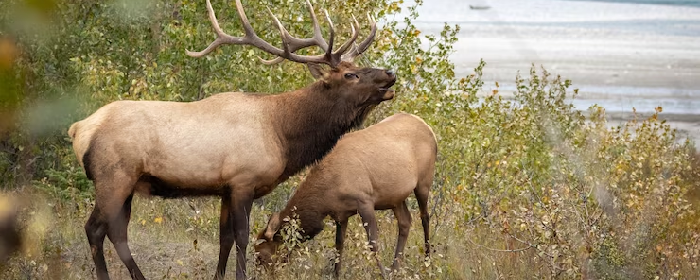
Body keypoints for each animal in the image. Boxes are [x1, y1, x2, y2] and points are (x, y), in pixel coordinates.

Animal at [68, 1, 396, 278]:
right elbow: (241, 237)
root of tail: (79, 129)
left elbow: (224, 239)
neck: (282, 134)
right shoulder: (243, 180)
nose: (390, 73)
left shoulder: (225, 188)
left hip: (128, 184)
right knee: (94, 228)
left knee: (116, 232)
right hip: (114, 177)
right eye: (350, 75)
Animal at [254, 113, 434, 278]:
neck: (325, 196)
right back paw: (396, 268)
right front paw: (336, 274)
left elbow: (373, 243)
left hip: (423, 183)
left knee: (425, 217)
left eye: (262, 256)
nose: (260, 276)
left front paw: (383, 274)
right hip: (395, 198)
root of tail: (427, 126)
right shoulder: (340, 214)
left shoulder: (365, 201)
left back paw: (427, 263)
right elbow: (339, 245)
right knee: (405, 221)